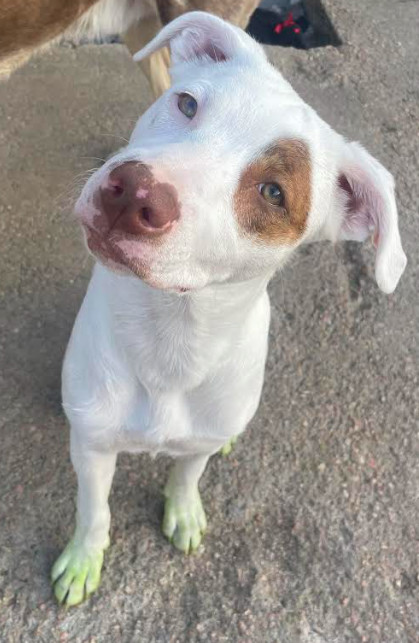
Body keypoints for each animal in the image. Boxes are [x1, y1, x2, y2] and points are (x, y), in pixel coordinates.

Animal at [49, 10, 406, 608]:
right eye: (187, 103)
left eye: (273, 192)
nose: (132, 192)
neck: (171, 338)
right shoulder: (94, 446)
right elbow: (93, 510)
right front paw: (82, 560)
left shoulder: (197, 440)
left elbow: (187, 473)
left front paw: (184, 510)